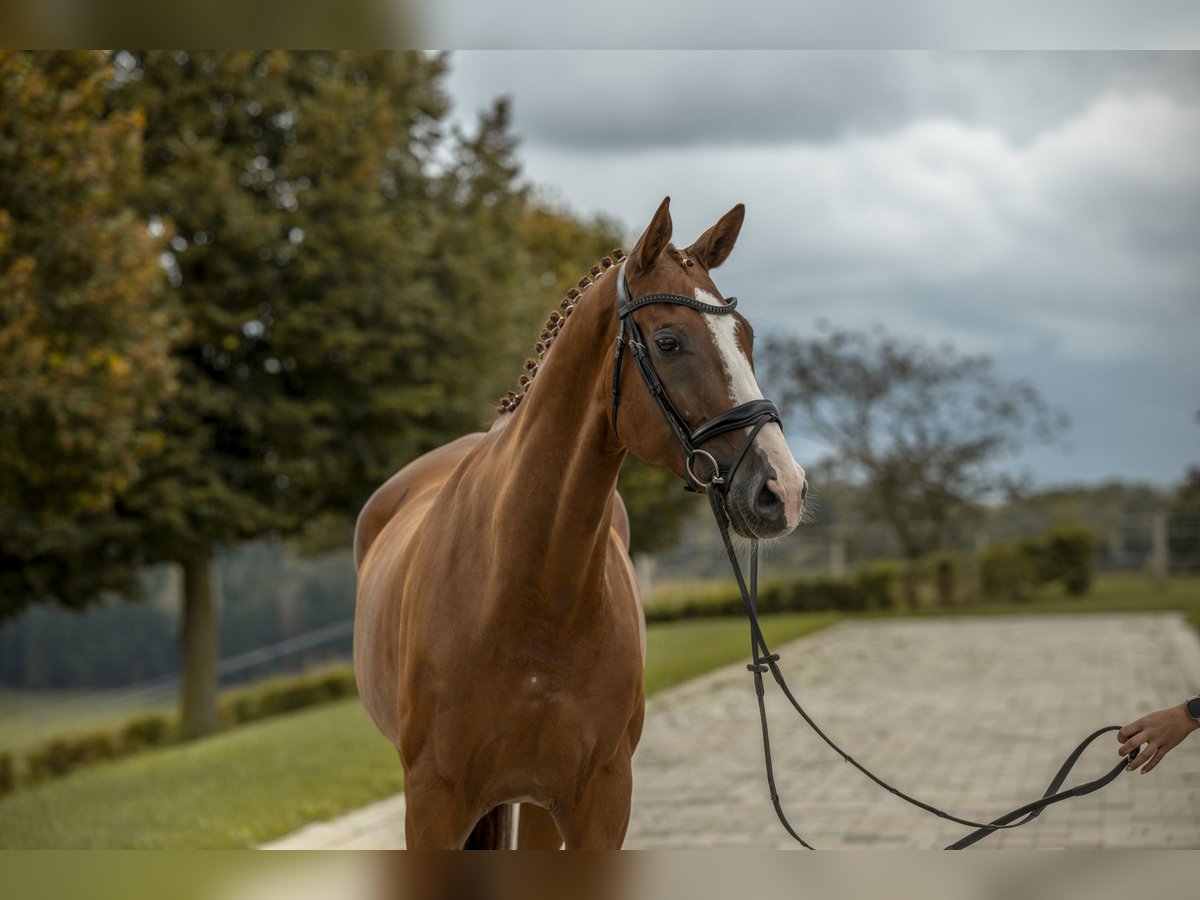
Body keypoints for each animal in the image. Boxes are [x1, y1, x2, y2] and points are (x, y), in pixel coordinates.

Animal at [352, 199, 806, 854]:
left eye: (745, 338)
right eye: (669, 342)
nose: (783, 490)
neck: (528, 593)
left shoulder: (599, 800)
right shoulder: (433, 805)